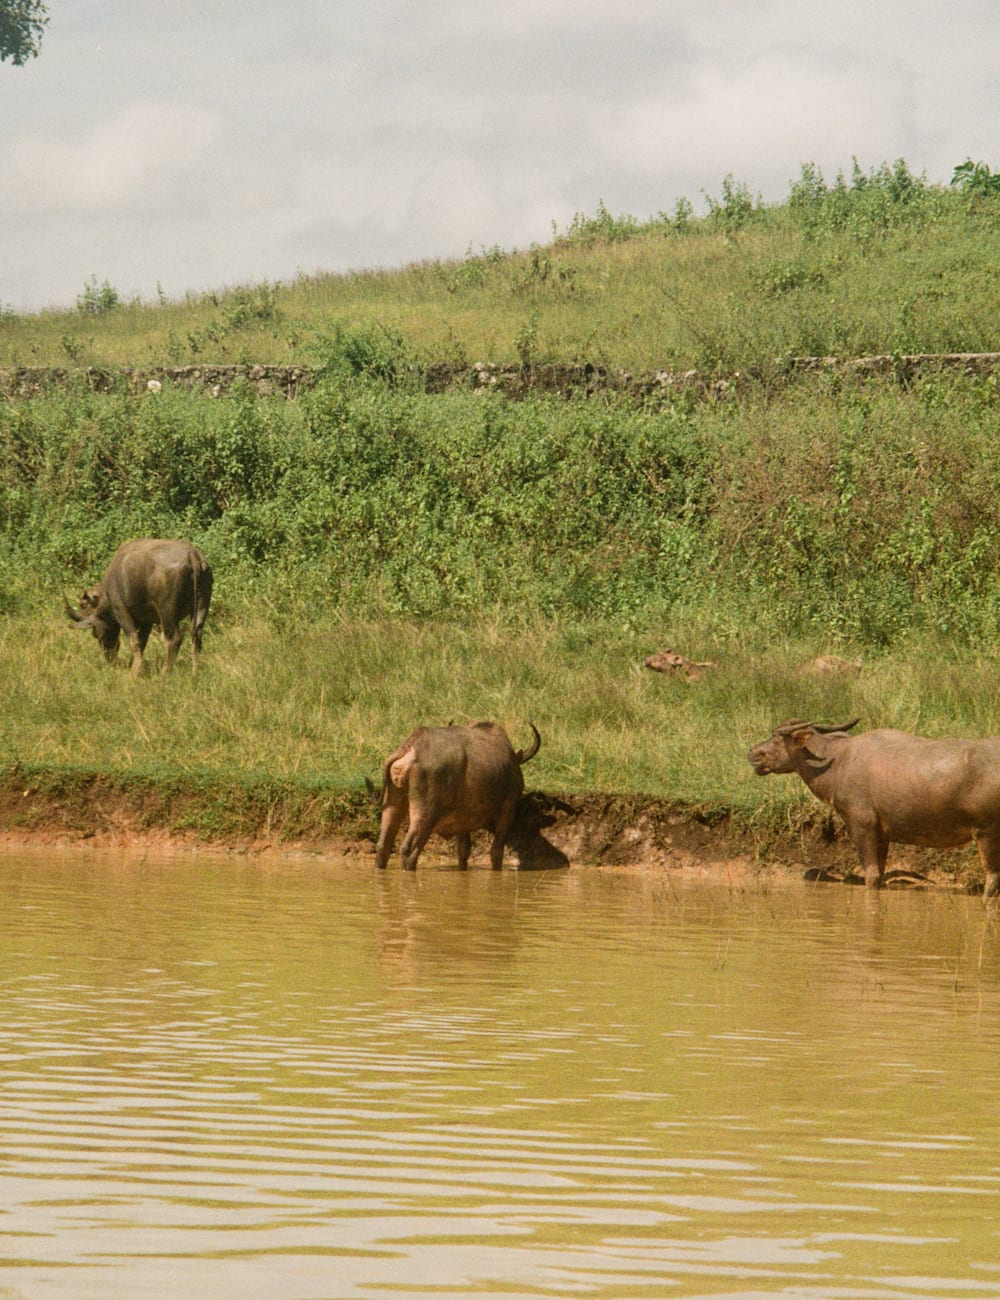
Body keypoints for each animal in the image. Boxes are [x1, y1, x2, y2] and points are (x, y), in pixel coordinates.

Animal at [65, 538, 213, 681]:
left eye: (96, 633)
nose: (110, 658)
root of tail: (192, 556)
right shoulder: (147, 620)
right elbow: (142, 642)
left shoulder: (121, 611)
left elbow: (134, 640)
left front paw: (135, 672)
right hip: (201, 607)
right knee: (197, 638)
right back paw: (195, 672)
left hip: (167, 613)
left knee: (174, 638)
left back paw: (164, 673)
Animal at [374, 722, 540, 873]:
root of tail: (410, 746)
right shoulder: (507, 811)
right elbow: (496, 851)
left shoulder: (462, 823)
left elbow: (463, 851)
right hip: (425, 813)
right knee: (409, 849)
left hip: (393, 800)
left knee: (383, 844)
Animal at [749, 717, 1000, 899]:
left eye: (776, 736)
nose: (752, 753)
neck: (838, 762)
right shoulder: (883, 835)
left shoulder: (862, 827)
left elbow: (871, 876)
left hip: (987, 834)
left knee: (992, 880)